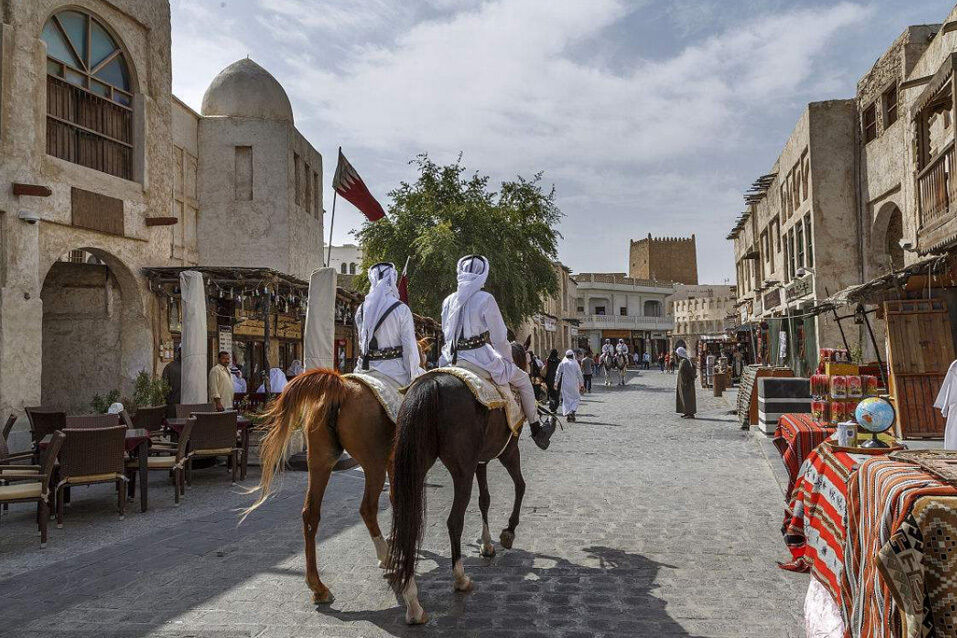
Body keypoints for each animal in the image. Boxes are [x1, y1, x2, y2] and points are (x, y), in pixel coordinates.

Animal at [380, 340, 544, 624]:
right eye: (530, 362)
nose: (536, 380)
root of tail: (430, 385)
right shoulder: (508, 451)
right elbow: (520, 485)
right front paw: (508, 531)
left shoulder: (480, 461)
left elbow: (485, 500)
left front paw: (487, 545)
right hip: (461, 471)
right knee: (454, 521)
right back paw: (460, 578)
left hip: (415, 465)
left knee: (408, 518)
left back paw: (412, 599)